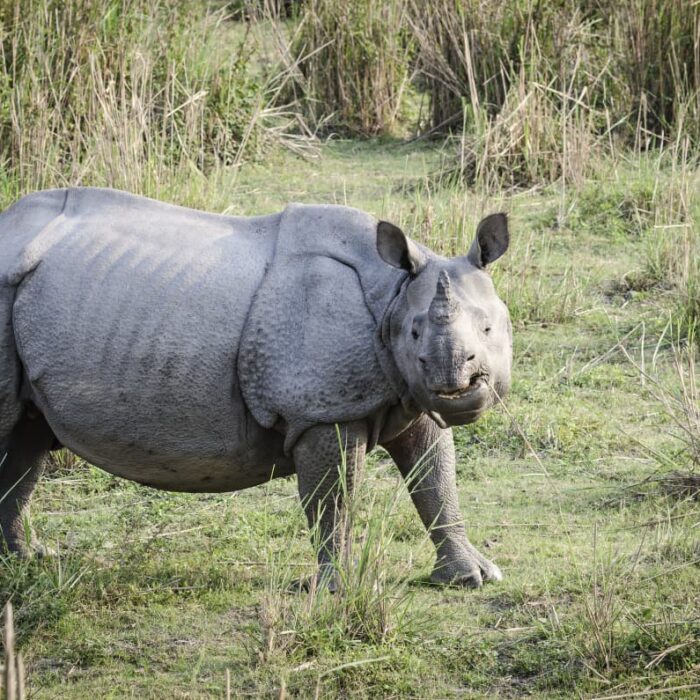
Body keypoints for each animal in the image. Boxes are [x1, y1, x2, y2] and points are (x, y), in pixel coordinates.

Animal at [0, 188, 511, 588]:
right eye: (415, 333)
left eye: (489, 330)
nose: (456, 384)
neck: (391, 294)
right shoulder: (322, 410)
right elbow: (334, 500)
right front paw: (339, 589)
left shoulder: (407, 394)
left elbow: (435, 478)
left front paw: (472, 577)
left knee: (25, 438)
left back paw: (27, 561)